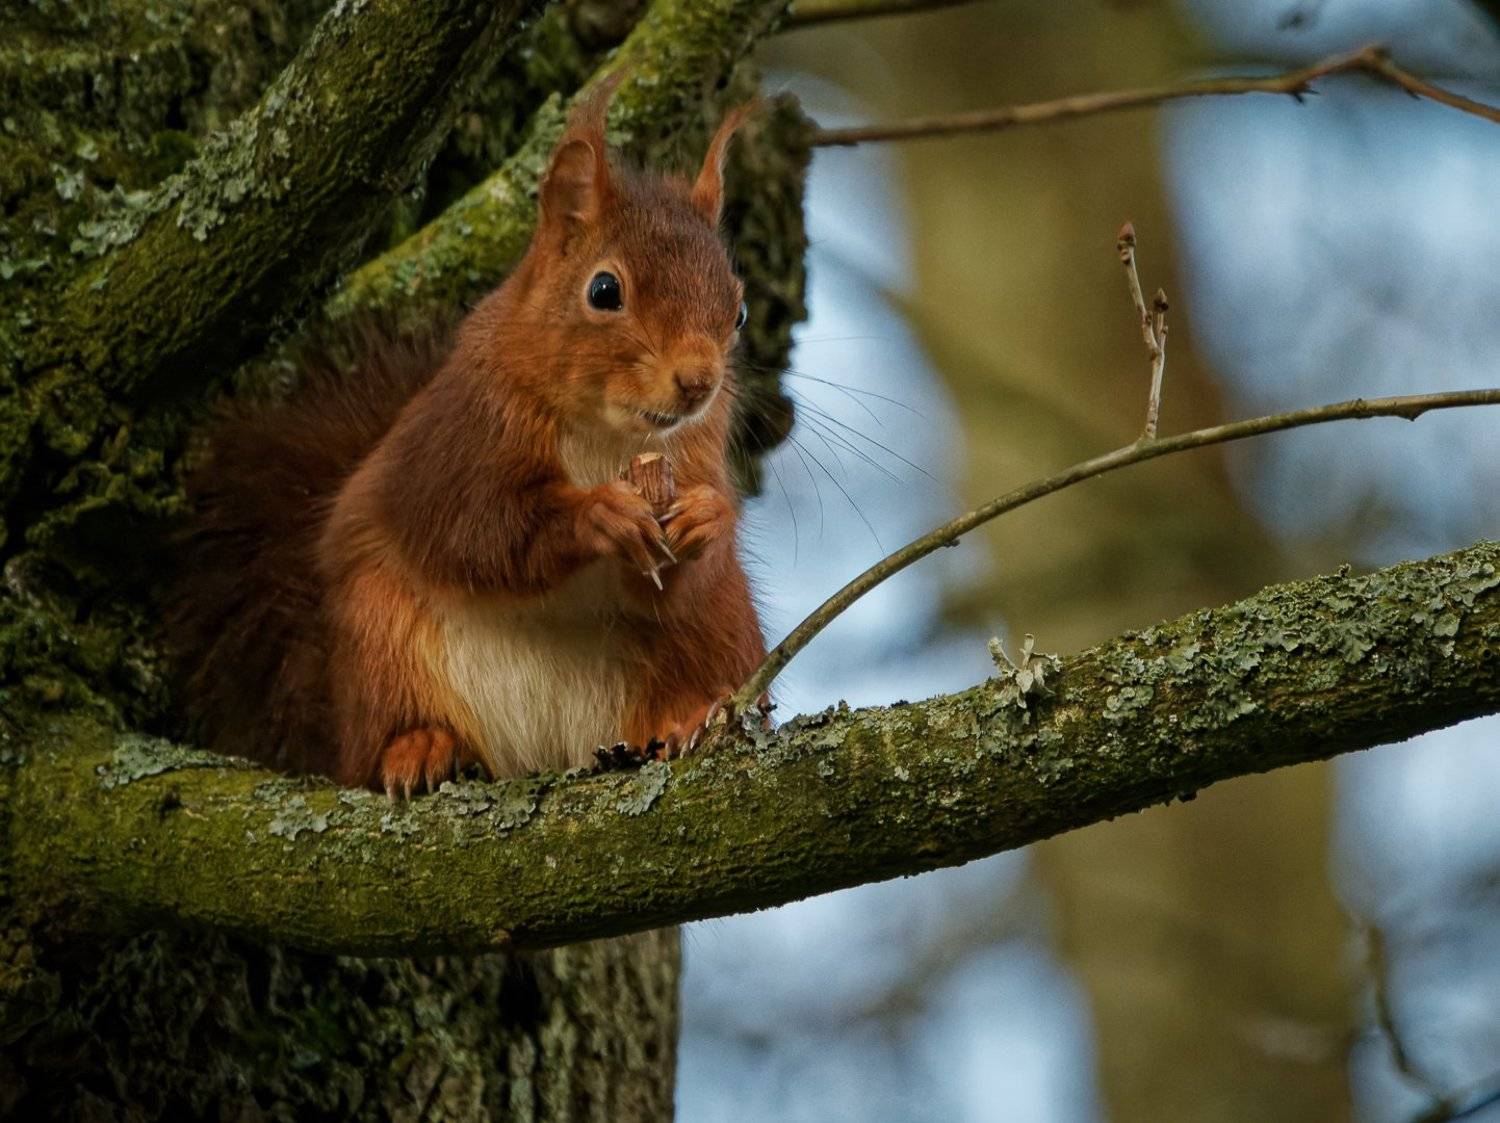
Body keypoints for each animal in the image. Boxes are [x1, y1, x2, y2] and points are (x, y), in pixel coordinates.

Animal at [169, 88, 767, 796]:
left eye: (738, 310)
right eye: (604, 291)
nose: (698, 381)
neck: (611, 436)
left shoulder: (697, 456)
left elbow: (679, 582)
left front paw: (708, 516)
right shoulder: (453, 443)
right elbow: (477, 528)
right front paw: (598, 513)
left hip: (712, 637)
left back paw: (687, 719)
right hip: (381, 638)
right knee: (380, 734)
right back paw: (419, 747)